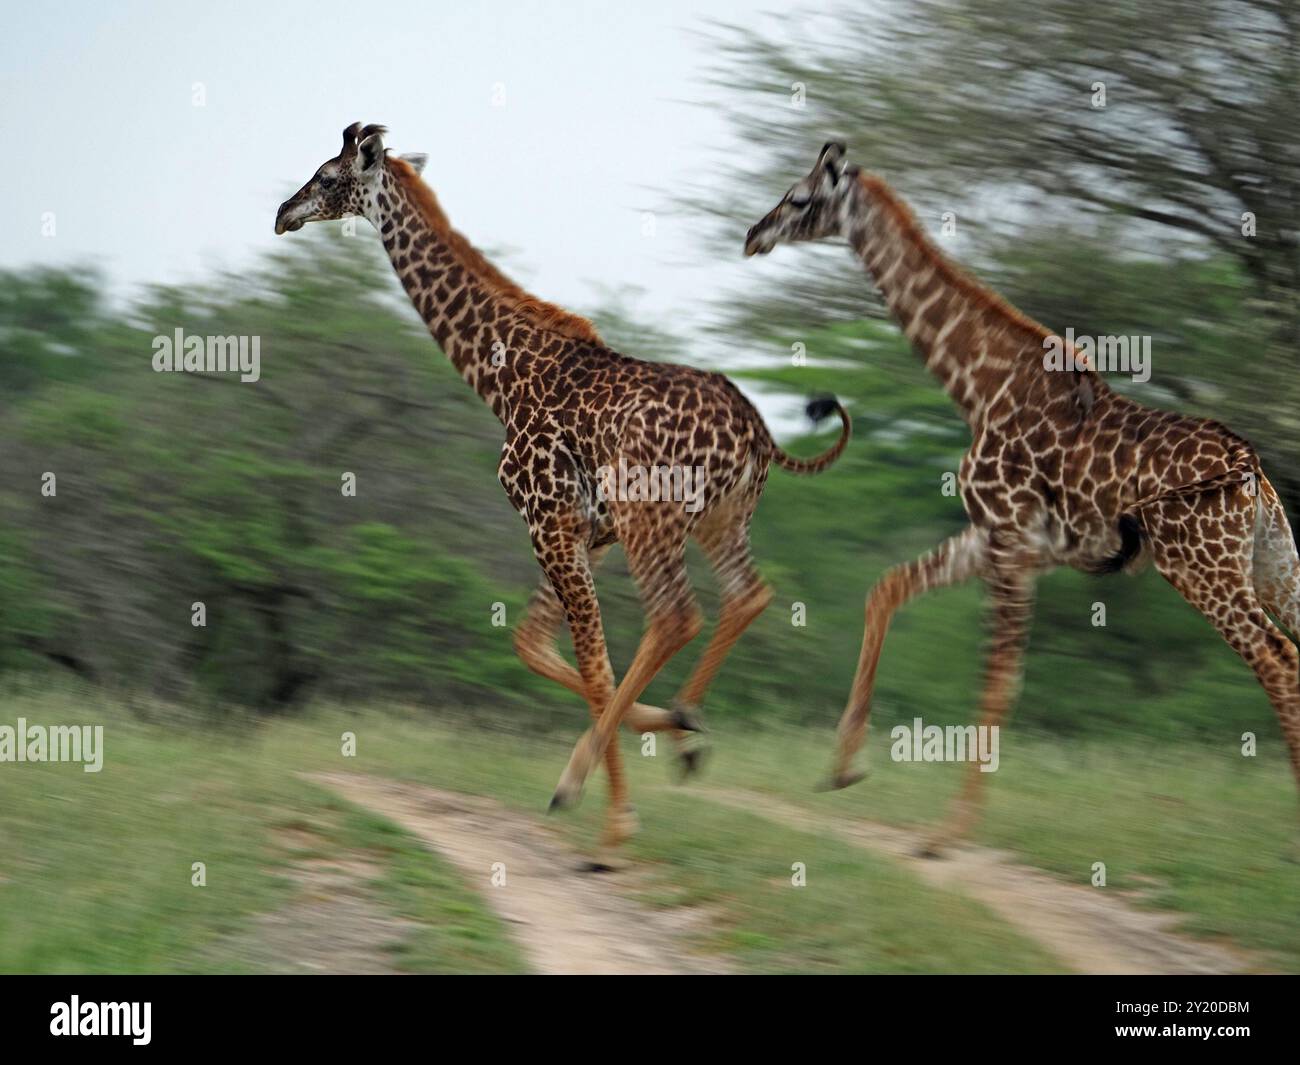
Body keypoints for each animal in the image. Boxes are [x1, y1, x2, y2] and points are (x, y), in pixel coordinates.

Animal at [274, 122, 852, 868]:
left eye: (326, 175)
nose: (282, 213)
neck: (501, 376)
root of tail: (757, 429)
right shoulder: (586, 532)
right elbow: (534, 644)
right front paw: (672, 733)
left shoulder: (549, 520)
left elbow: (591, 663)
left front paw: (616, 819)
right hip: (720, 520)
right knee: (747, 594)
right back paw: (685, 724)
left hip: (653, 520)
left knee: (678, 614)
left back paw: (588, 783)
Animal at [743, 143, 1300, 858]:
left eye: (800, 197)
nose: (753, 235)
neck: (979, 386)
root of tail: (1249, 466)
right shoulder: (1000, 541)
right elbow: (886, 589)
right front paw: (842, 769)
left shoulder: (1008, 539)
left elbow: (1000, 677)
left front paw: (946, 833)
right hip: (1272, 563)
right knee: (1295, 650)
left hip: (1201, 566)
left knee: (1276, 658)